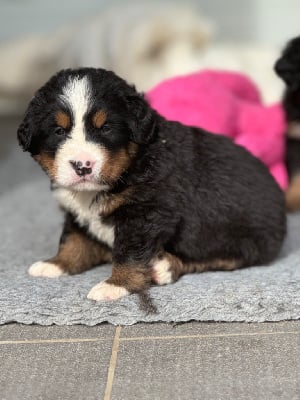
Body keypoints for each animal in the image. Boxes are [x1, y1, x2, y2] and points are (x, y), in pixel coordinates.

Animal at [17, 68, 286, 300]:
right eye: (59, 131)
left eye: (106, 128)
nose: (82, 165)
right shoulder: (77, 213)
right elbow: (73, 240)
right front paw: (56, 264)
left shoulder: (146, 213)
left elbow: (129, 254)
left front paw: (115, 285)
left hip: (240, 238)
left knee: (217, 257)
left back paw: (164, 266)